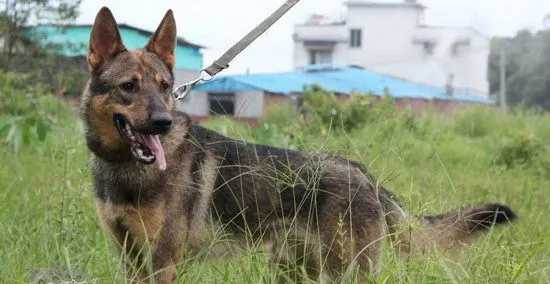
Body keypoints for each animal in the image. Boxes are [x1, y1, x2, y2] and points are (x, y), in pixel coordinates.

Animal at [80, 7, 520, 284]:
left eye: (165, 87)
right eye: (129, 87)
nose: (163, 122)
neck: (126, 171)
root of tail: (364, 174)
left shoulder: (163, 264)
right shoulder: (132, 262)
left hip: (344, 272)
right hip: (295, 270)